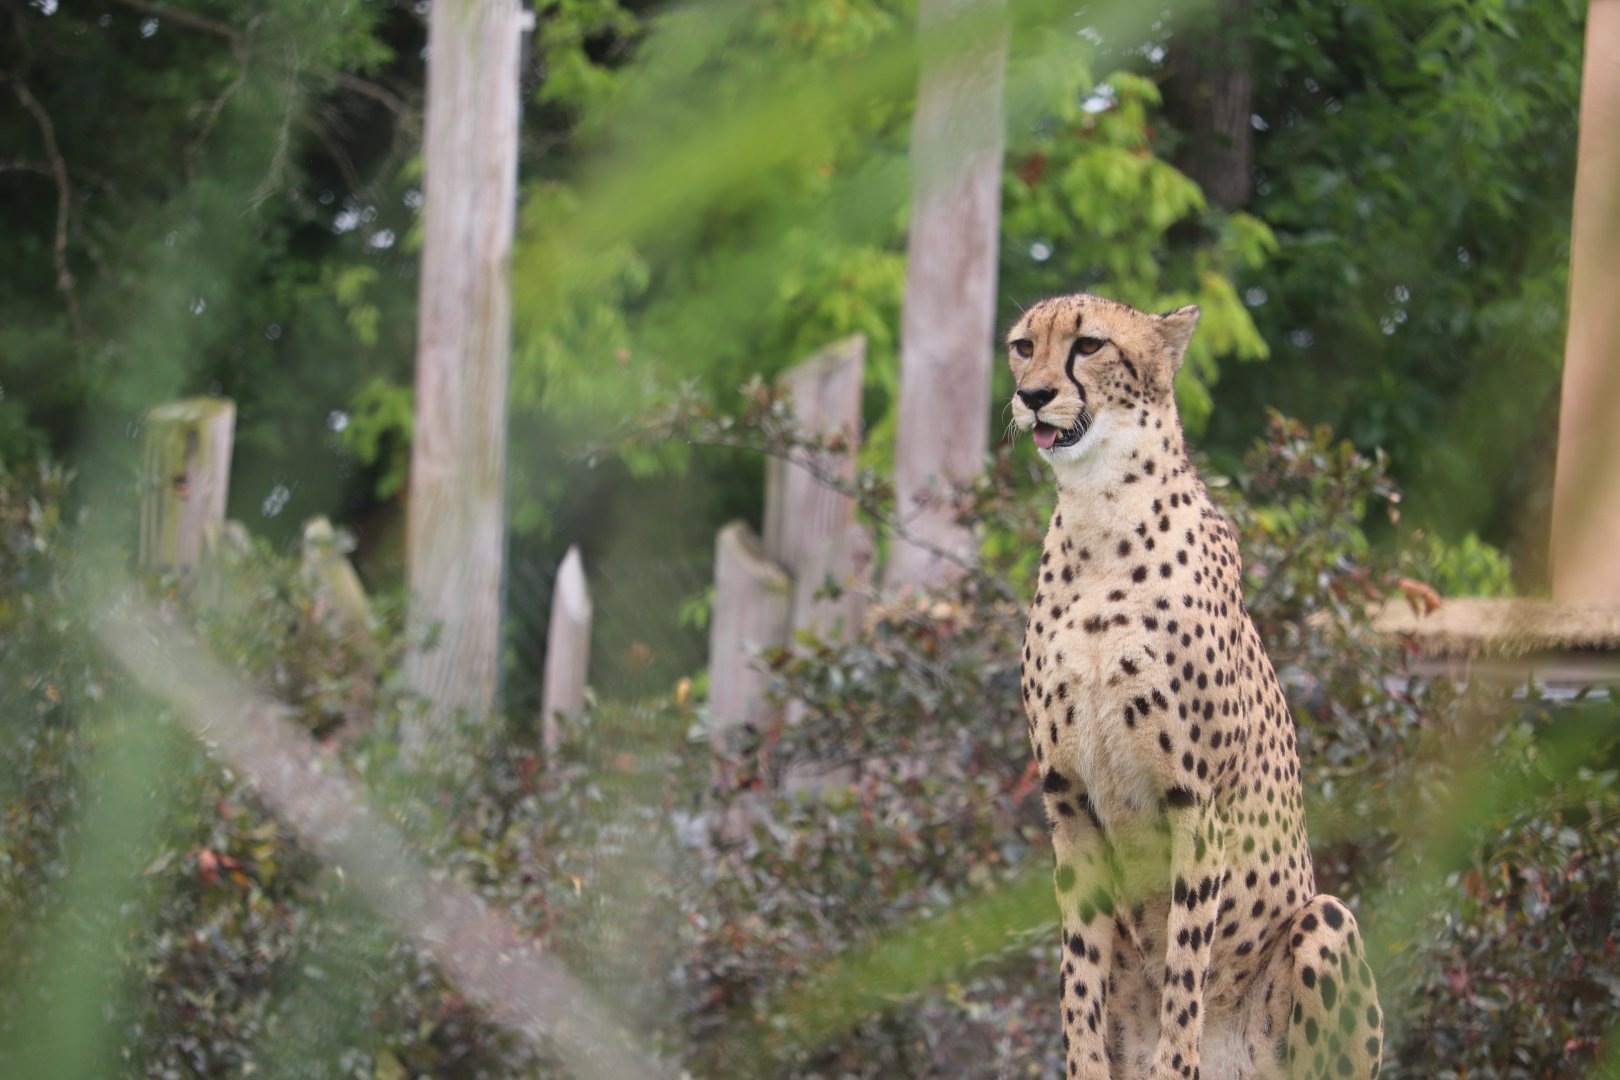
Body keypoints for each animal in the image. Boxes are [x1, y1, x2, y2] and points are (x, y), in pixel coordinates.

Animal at [1007, 292, 1382, 1080]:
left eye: (1088, 345)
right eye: (1024, 346)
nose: (1033, 396)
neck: (1098, 520)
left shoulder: (1195, 802)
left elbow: (1185, 963)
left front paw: (1174, 1061)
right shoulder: (1069, 806)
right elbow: (1078, 977)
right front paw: (1084, 1061)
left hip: (1326, 918)